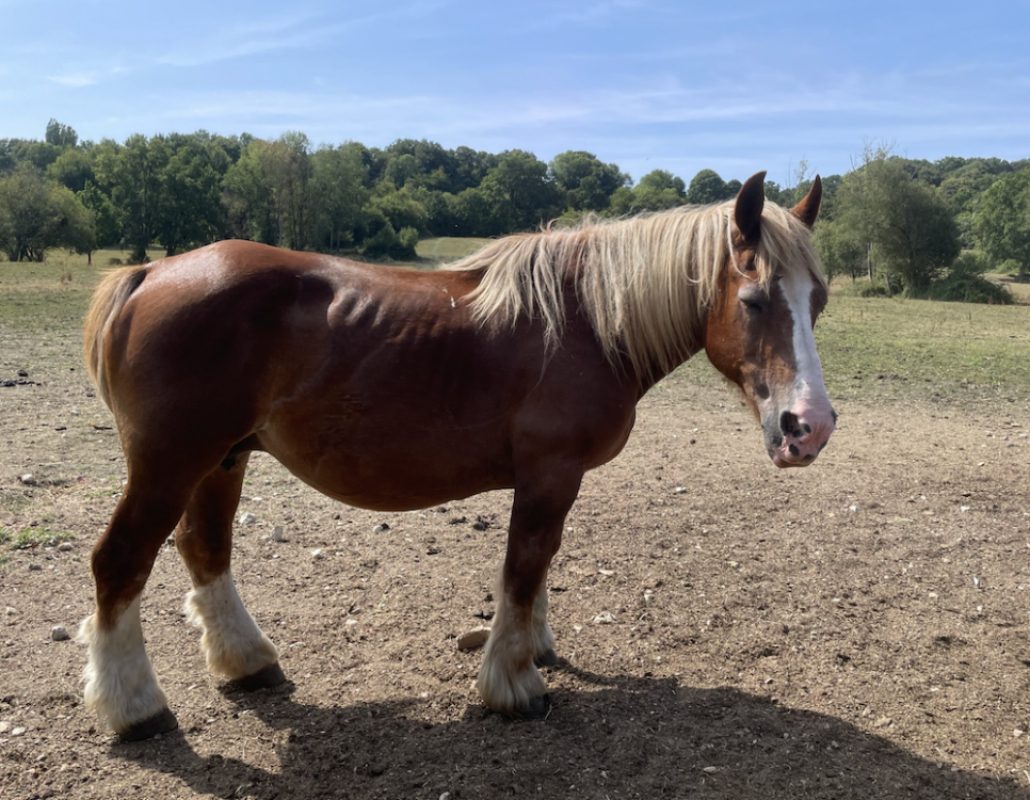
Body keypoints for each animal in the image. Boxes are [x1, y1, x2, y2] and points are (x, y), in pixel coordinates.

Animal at [78, 171, 835, 741]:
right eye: (754, 299)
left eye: (818, 301)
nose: (810, 427)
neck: (585, 322)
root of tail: (150, 273)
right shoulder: (550, 473)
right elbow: (524, 567)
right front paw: (513, 683)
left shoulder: (550, 478)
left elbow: (538, 567)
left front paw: (534, 645)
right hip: (171, 463)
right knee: (120, 563)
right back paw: (135, 707)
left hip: (223, 460)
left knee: (204, 550)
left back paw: (246, 662)